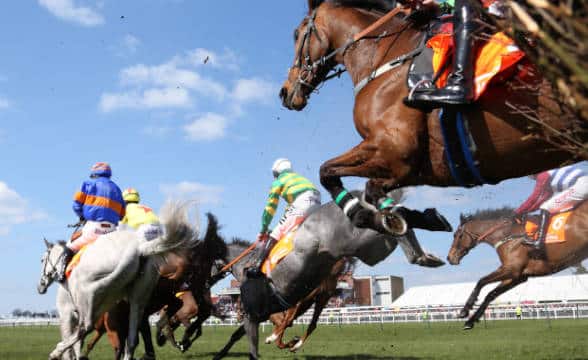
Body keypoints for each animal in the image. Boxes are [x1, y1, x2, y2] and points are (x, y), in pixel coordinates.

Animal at [37, 202, 198, 360]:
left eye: (42, 260)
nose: (41, 286)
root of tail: (138, 248)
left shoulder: (67, 312)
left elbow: (71, 343)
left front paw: (61, 353)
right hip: (137, 300)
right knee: (132, 340)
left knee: (86, 327)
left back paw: (56, 351)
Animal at [212, 191, 436, 360]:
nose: (208, 279)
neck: (247, 264)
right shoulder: (265, 313)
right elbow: (239, 334)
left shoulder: (264, 312)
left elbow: (260, 331)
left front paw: (279, 340)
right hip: (323, 295)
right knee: (311, 324)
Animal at [280, 0, 584, 233]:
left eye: (296, 34)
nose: (285, 92)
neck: (384, 58)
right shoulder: (420, 168)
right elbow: (338, 176)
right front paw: (421, 218)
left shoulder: (396, 151)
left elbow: (341, 177)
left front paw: (370, 216)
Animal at [446, 202, 588, 330]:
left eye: (457, 235)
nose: (449, 257)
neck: (507, 235)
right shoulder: (518, 276)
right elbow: (491, 294)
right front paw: (470, 320)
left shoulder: (511, 269)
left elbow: (481, 282)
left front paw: (464, 311)